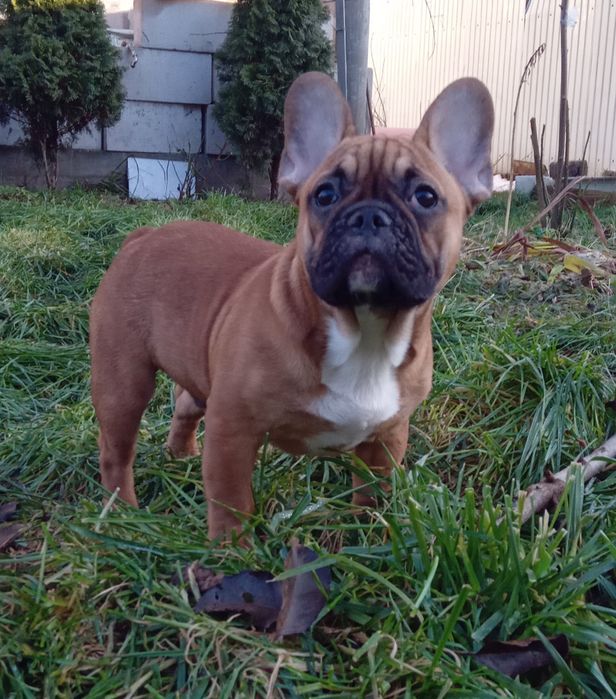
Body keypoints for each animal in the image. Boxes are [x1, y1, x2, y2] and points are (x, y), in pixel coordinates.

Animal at [89, 72, 494, 540]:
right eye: (325, 195)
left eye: (425, 197)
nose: (369, 215)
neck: (364, 331)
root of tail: (141, 238)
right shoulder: (233, 428)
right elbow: (231, 499)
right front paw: (232, 548)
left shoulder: (388, 436)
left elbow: (373, 491)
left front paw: (369, 532)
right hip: (124, 382)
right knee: (116, 450)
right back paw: (121, 513)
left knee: (186, 403)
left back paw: (181, 455)